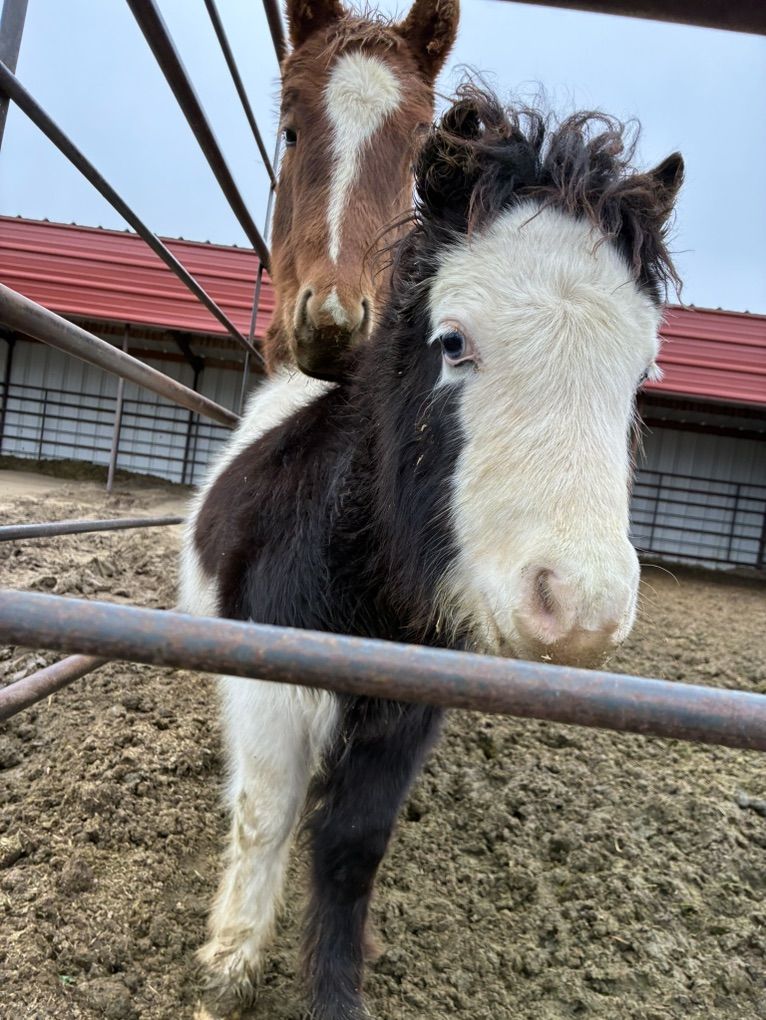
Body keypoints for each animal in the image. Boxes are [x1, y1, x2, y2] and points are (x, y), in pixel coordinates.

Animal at [185, 87, 683, 1018]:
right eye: (453, 342)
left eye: (641, 375)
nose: (581, 611)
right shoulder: (269, 688)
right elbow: (263, 816)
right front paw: (228, 968)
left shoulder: (409, 713)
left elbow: (351, 846)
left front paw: (336, 990)